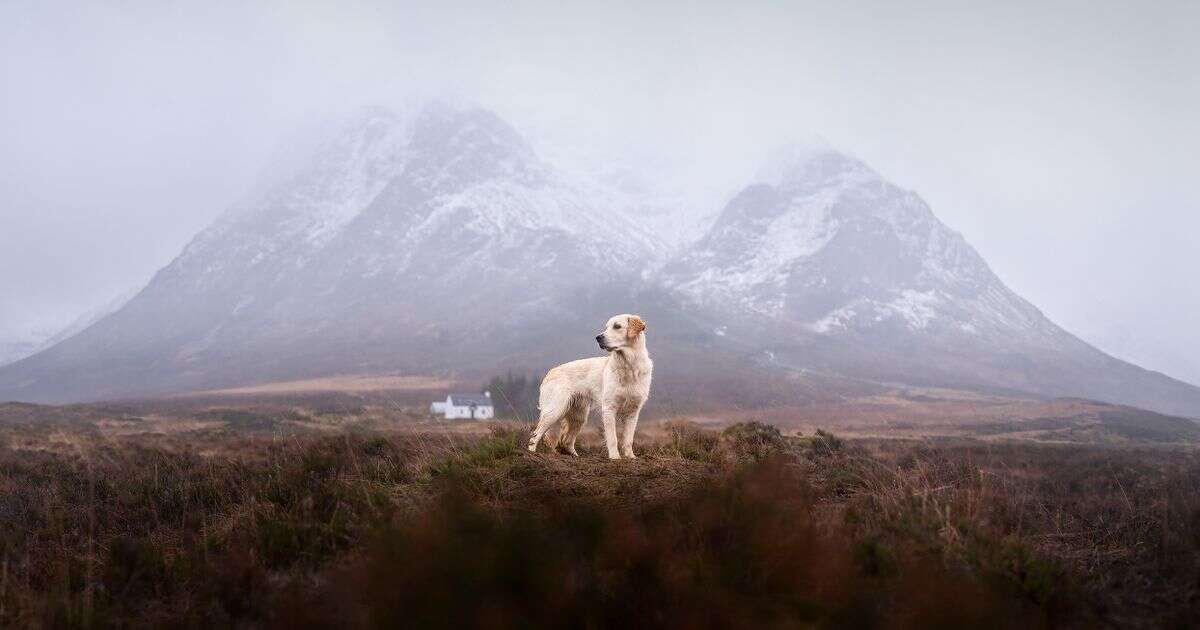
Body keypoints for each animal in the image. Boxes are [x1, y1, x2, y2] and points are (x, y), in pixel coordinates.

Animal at [528, 312, 652, 456]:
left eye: (617, 326)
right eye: (606, 327)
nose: (598, 337)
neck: (629, 366)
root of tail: (550, 372)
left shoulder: (633, 412)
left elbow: (628, 440)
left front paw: (630, 457)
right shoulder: (609, 409)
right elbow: (613, 438)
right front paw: (615, 457)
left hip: (579, 416)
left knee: (566, 441)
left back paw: (575, 456)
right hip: (554, 411)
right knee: (535, 435)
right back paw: (531, 455)